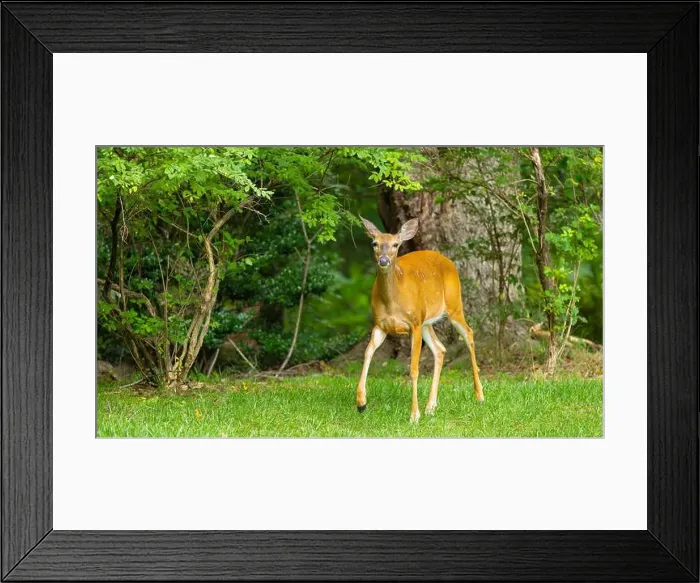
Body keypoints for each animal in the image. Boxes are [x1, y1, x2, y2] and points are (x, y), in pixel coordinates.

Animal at [356, 216, 484, 423]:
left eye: (396, 244)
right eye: (374, 243)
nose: (383, 260)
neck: (393, 301)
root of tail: (448, 260)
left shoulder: (413, 324)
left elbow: (414, 369)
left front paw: (414, 415)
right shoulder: (380, 325)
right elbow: (367, 353)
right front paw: (361, 402)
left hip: (453, 304)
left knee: (468, 333)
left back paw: (479, 395)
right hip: (426, 321)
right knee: (440, 349)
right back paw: (431, 407)